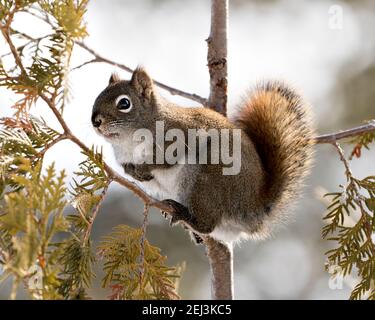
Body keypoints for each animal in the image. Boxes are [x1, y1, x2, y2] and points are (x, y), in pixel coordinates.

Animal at [92, 67, 316, 242]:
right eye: (98, 96)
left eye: (124, 103)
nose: (95, 121)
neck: (128, 141)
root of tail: (253, 208)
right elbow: (129, 169)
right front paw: (133, 172)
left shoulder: (179, 136)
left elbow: (163, 159)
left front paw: (144, 167)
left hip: (208, 178)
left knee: (208, 224)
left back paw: (184, 215)